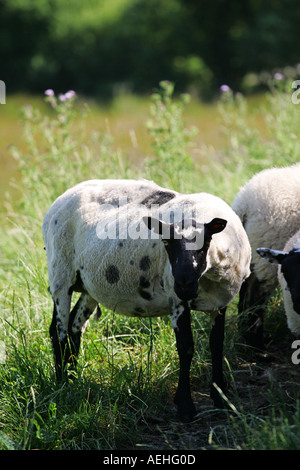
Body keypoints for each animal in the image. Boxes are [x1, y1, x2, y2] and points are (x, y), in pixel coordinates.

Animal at [42, 179, 251, 422]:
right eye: (166, 243)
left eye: (205, 241)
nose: (184, 283)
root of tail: (64, 196)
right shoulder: (178, 301)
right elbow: (186, 348)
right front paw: (185, 406)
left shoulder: (219, 303)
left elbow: (217, 346)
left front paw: (222, 399)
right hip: (60, 273)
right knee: (58, 331)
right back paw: (62, 383)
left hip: (88, 284)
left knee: (75, 326)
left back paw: (75, 379)